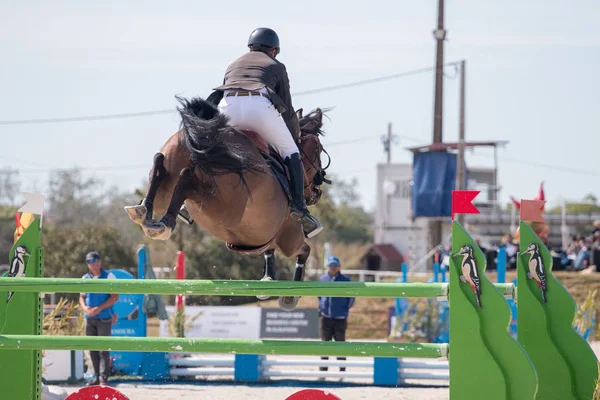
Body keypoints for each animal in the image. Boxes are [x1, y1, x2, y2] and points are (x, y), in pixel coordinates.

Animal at [124, 96, 330, 310]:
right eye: (317, 149)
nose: (317, 192)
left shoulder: (266, 238)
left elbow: (270, 251)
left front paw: (269, 281)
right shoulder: (289, 238)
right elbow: (305, 250)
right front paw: (290, 295)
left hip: (174, 181)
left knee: (160, 165)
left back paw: (145, 212)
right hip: (224, 207)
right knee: (186, 178)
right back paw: (165, 221)